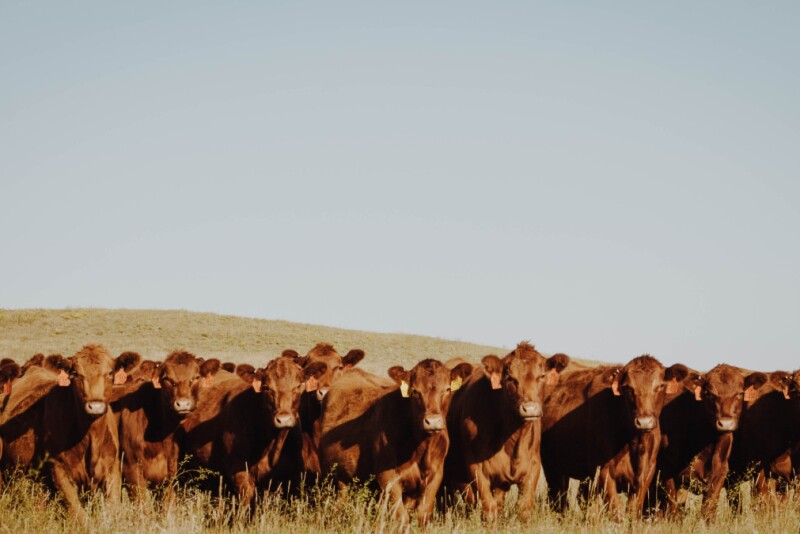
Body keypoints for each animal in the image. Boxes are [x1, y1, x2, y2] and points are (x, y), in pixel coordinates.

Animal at [0, 345, 140, 521]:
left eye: (110, 373)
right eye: (75, 374)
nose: (95, 406)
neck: (91, 439)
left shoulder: (112, 469)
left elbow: (113, 511)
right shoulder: (60, 472)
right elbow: (79, 515)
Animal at [319, 358, 473, 527]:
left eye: (447, 389)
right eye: (415, 391)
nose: (432, 422)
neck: (420, 448)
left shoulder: (435, 475)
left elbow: (423, 514)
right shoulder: (388, 477)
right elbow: (401, 517)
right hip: (335, 477)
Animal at [443, 343, 569, 521]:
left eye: (542, 376)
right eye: (509, 378)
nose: (530, 408)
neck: (512, 442)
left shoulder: (532, 468)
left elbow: (523, 509)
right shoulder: (477, 469)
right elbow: (489, 510)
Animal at [541, 355, 687, 519]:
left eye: (660, 386)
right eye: (628, 388)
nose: (644, 422)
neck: (634, 443)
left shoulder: (646, 474)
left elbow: (633, 511)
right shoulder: (604, 473)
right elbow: (616, 513)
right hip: (551, 465)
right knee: (558, 498)